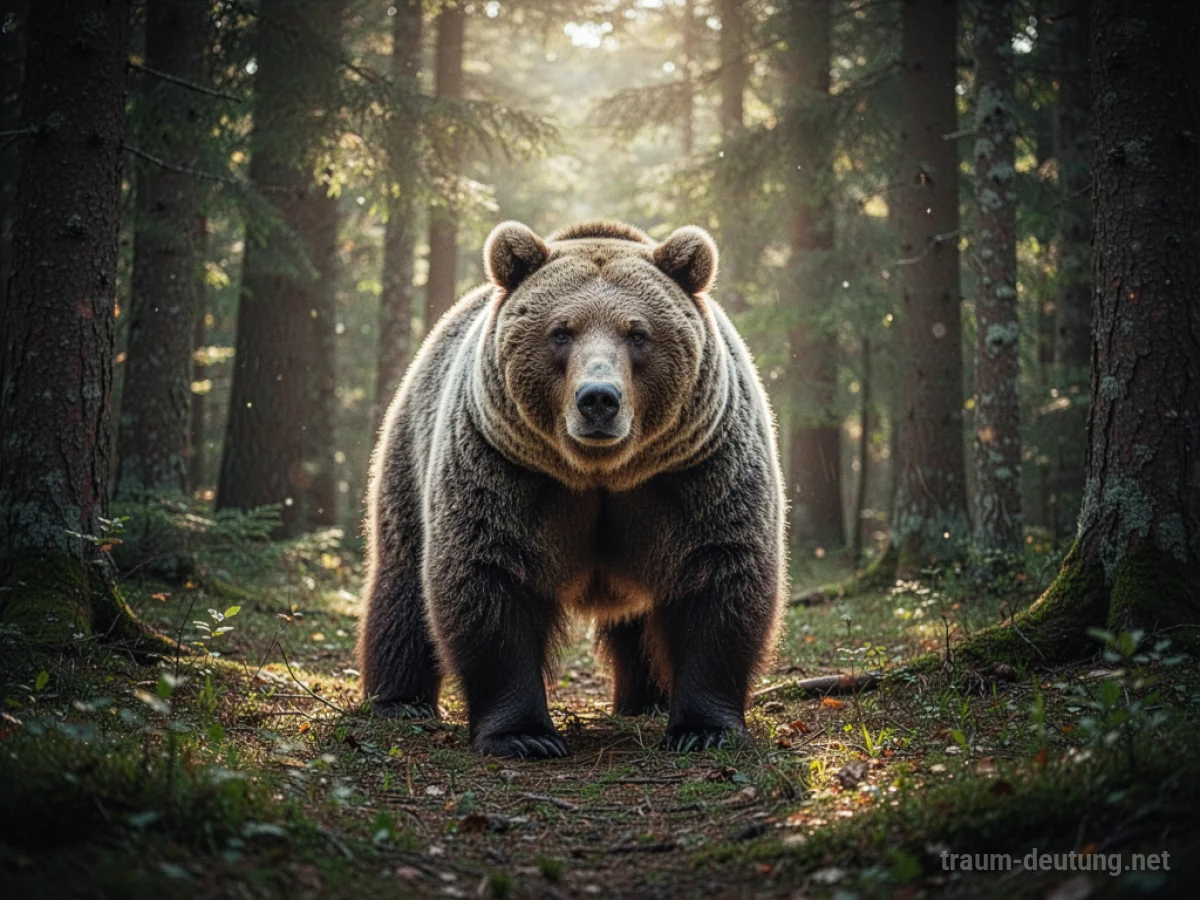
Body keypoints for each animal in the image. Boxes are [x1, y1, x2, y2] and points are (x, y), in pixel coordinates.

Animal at [357, 220, 786, 758]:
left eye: (638, 333)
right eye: (561, 331)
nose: (598, 399)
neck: (601, 473)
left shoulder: (697, 471)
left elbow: (720, 577)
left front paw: (705, 728)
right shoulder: (505, 469)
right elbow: (488, 580)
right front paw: (524, 735)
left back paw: (647, 701)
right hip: (409, 457)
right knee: (401, 584)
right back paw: (400, 701)